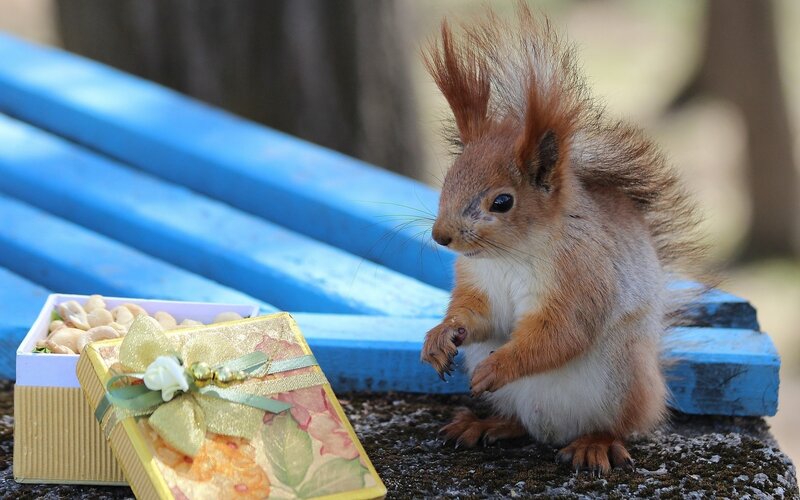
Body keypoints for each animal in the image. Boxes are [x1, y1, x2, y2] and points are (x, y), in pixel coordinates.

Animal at [420, 4, 707, 474]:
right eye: (448, 180)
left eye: (502, 202)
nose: (441, 236)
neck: (511, 255)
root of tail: (553, 432)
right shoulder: (479, 281)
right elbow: (481, 317)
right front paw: (442, 336)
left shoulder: (583, 275)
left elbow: (562, 333)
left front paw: (501, 366)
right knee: (519, 423)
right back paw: (485, 424)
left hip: (624, 378)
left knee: (619, 425)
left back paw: (595, 444)